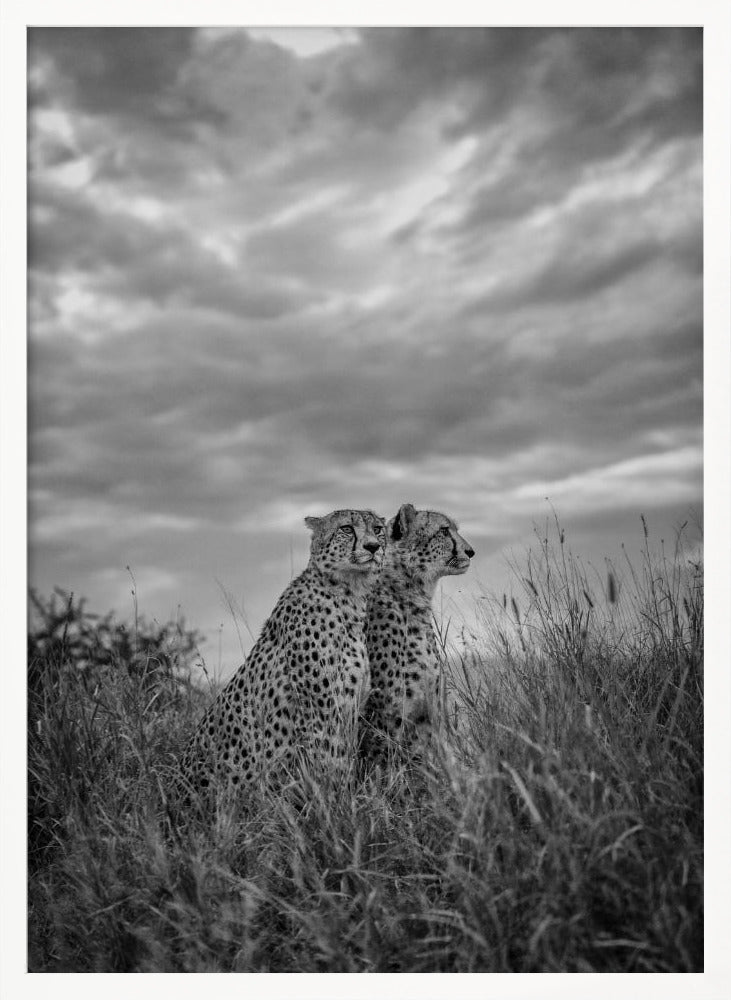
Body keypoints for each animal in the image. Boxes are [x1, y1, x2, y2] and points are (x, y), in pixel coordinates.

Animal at [175, 508, 386, 805]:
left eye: (378, 529)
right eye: (346, 528)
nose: (373, 547)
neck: (349, 594)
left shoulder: (349, 708)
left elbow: (344, 759)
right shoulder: (320, 713)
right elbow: (330, 764)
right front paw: (337, 805)